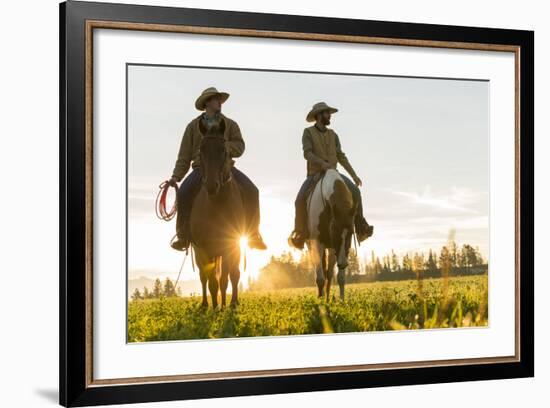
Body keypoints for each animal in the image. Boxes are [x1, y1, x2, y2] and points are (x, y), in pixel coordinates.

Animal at [192, 118, 248, 310]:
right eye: (201, 150)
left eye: (223, 150)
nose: (211, 185)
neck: (218, 205)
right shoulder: (204, 247)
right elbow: (211, 281)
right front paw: (216, 307)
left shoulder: (233, 244)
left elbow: (232, 275)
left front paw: (232, 304)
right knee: (204, 277)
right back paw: (205, 305)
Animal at [306, 169, 358, 300]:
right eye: (334, 230)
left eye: (351, 232)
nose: (344, 263)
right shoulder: (318, 243)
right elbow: (320, 278)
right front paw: (320, 300)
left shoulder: (338, 248)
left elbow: (340, 278)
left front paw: (342, 300)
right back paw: (321, 296)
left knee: (328, 274)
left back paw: (327, 298)